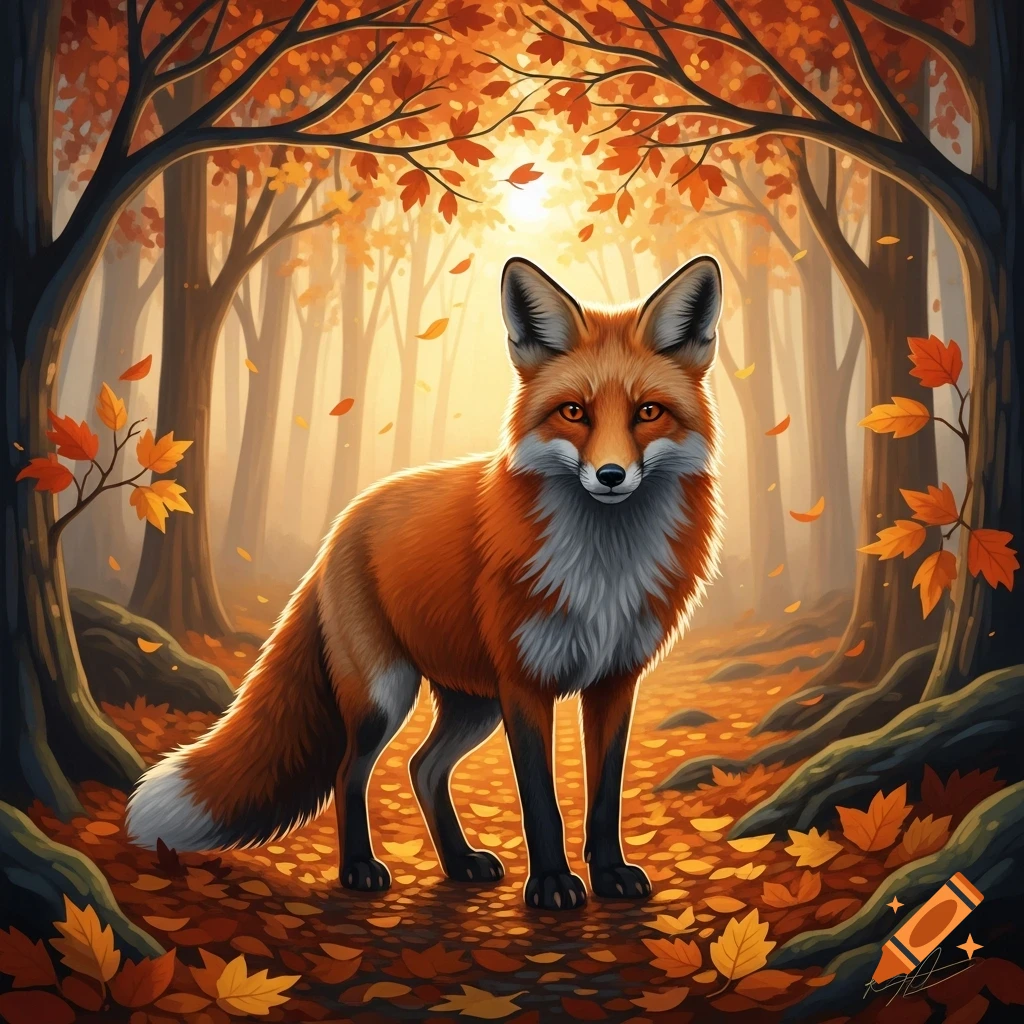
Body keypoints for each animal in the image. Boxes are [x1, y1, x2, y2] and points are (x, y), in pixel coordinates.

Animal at [127, 255, 724, 911]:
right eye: (574, 412)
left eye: (648, 412)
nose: (611, 475)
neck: (603, 569)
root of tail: (343, 523)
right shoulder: (524, 685)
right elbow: (541, 803)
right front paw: (549, 884)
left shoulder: (616, 681)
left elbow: (604, 795)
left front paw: (611, 873)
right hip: (386, 694)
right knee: (349, 772)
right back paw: (360, 869)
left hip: (473, 704)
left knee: (423, 767)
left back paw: (459, 861)